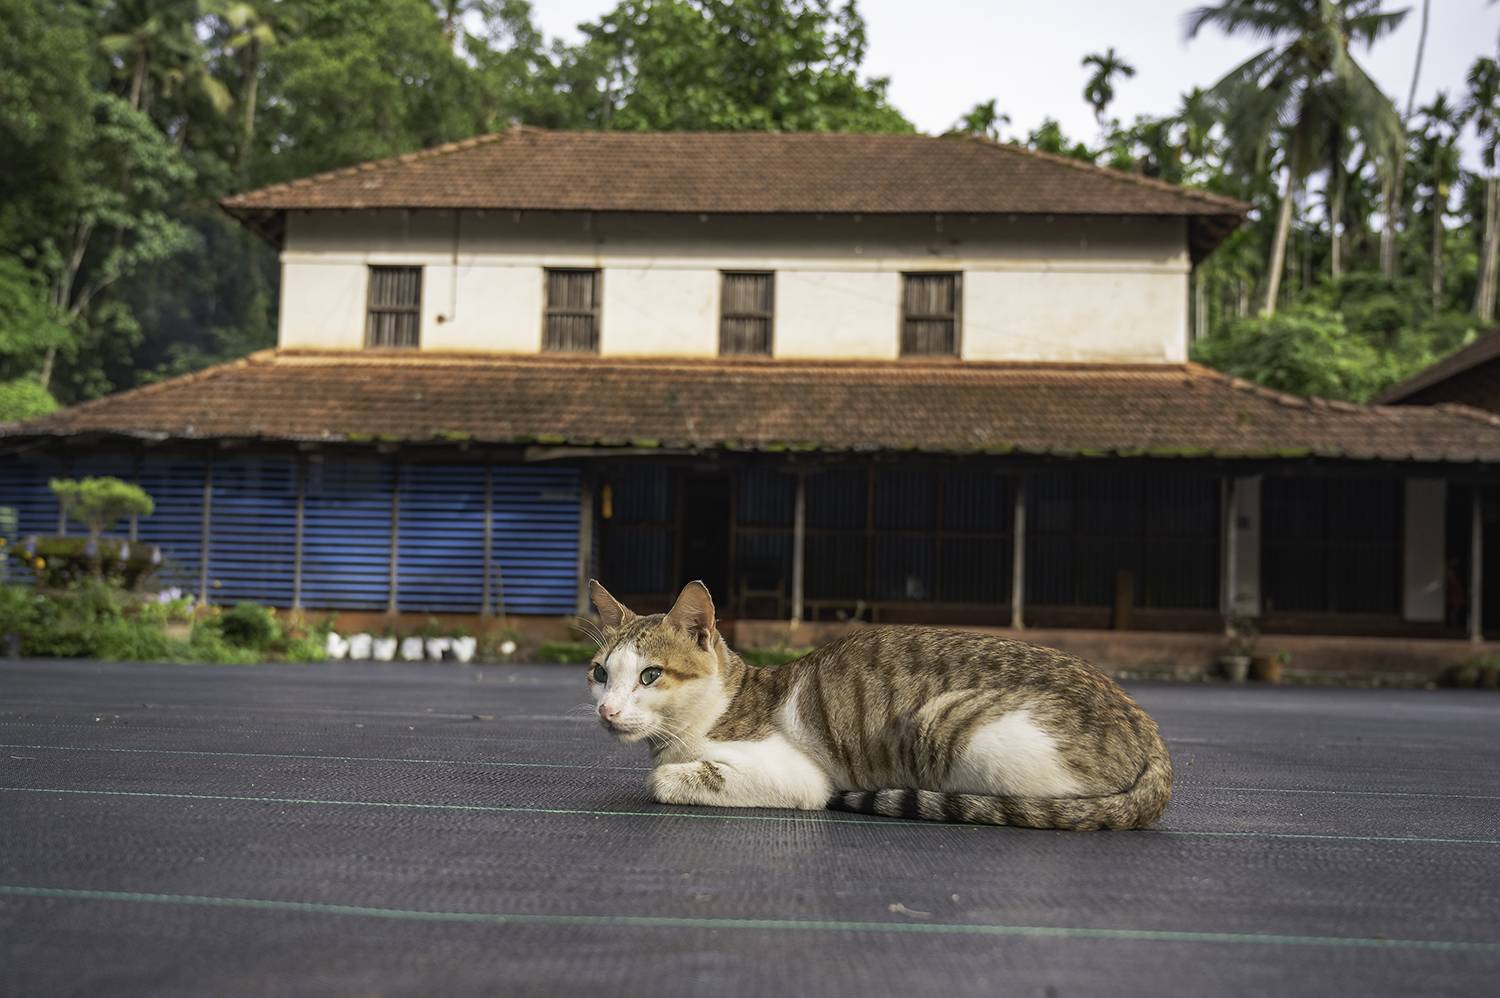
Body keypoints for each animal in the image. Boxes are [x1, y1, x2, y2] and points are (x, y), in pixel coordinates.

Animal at [585, 579, 1173, 831]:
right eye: (600, 674)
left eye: (650, 675)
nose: (606, 711)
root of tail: (1148, 730)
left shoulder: (796, 776)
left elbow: (664, 779)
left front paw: (669, 773)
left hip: (946, 722)